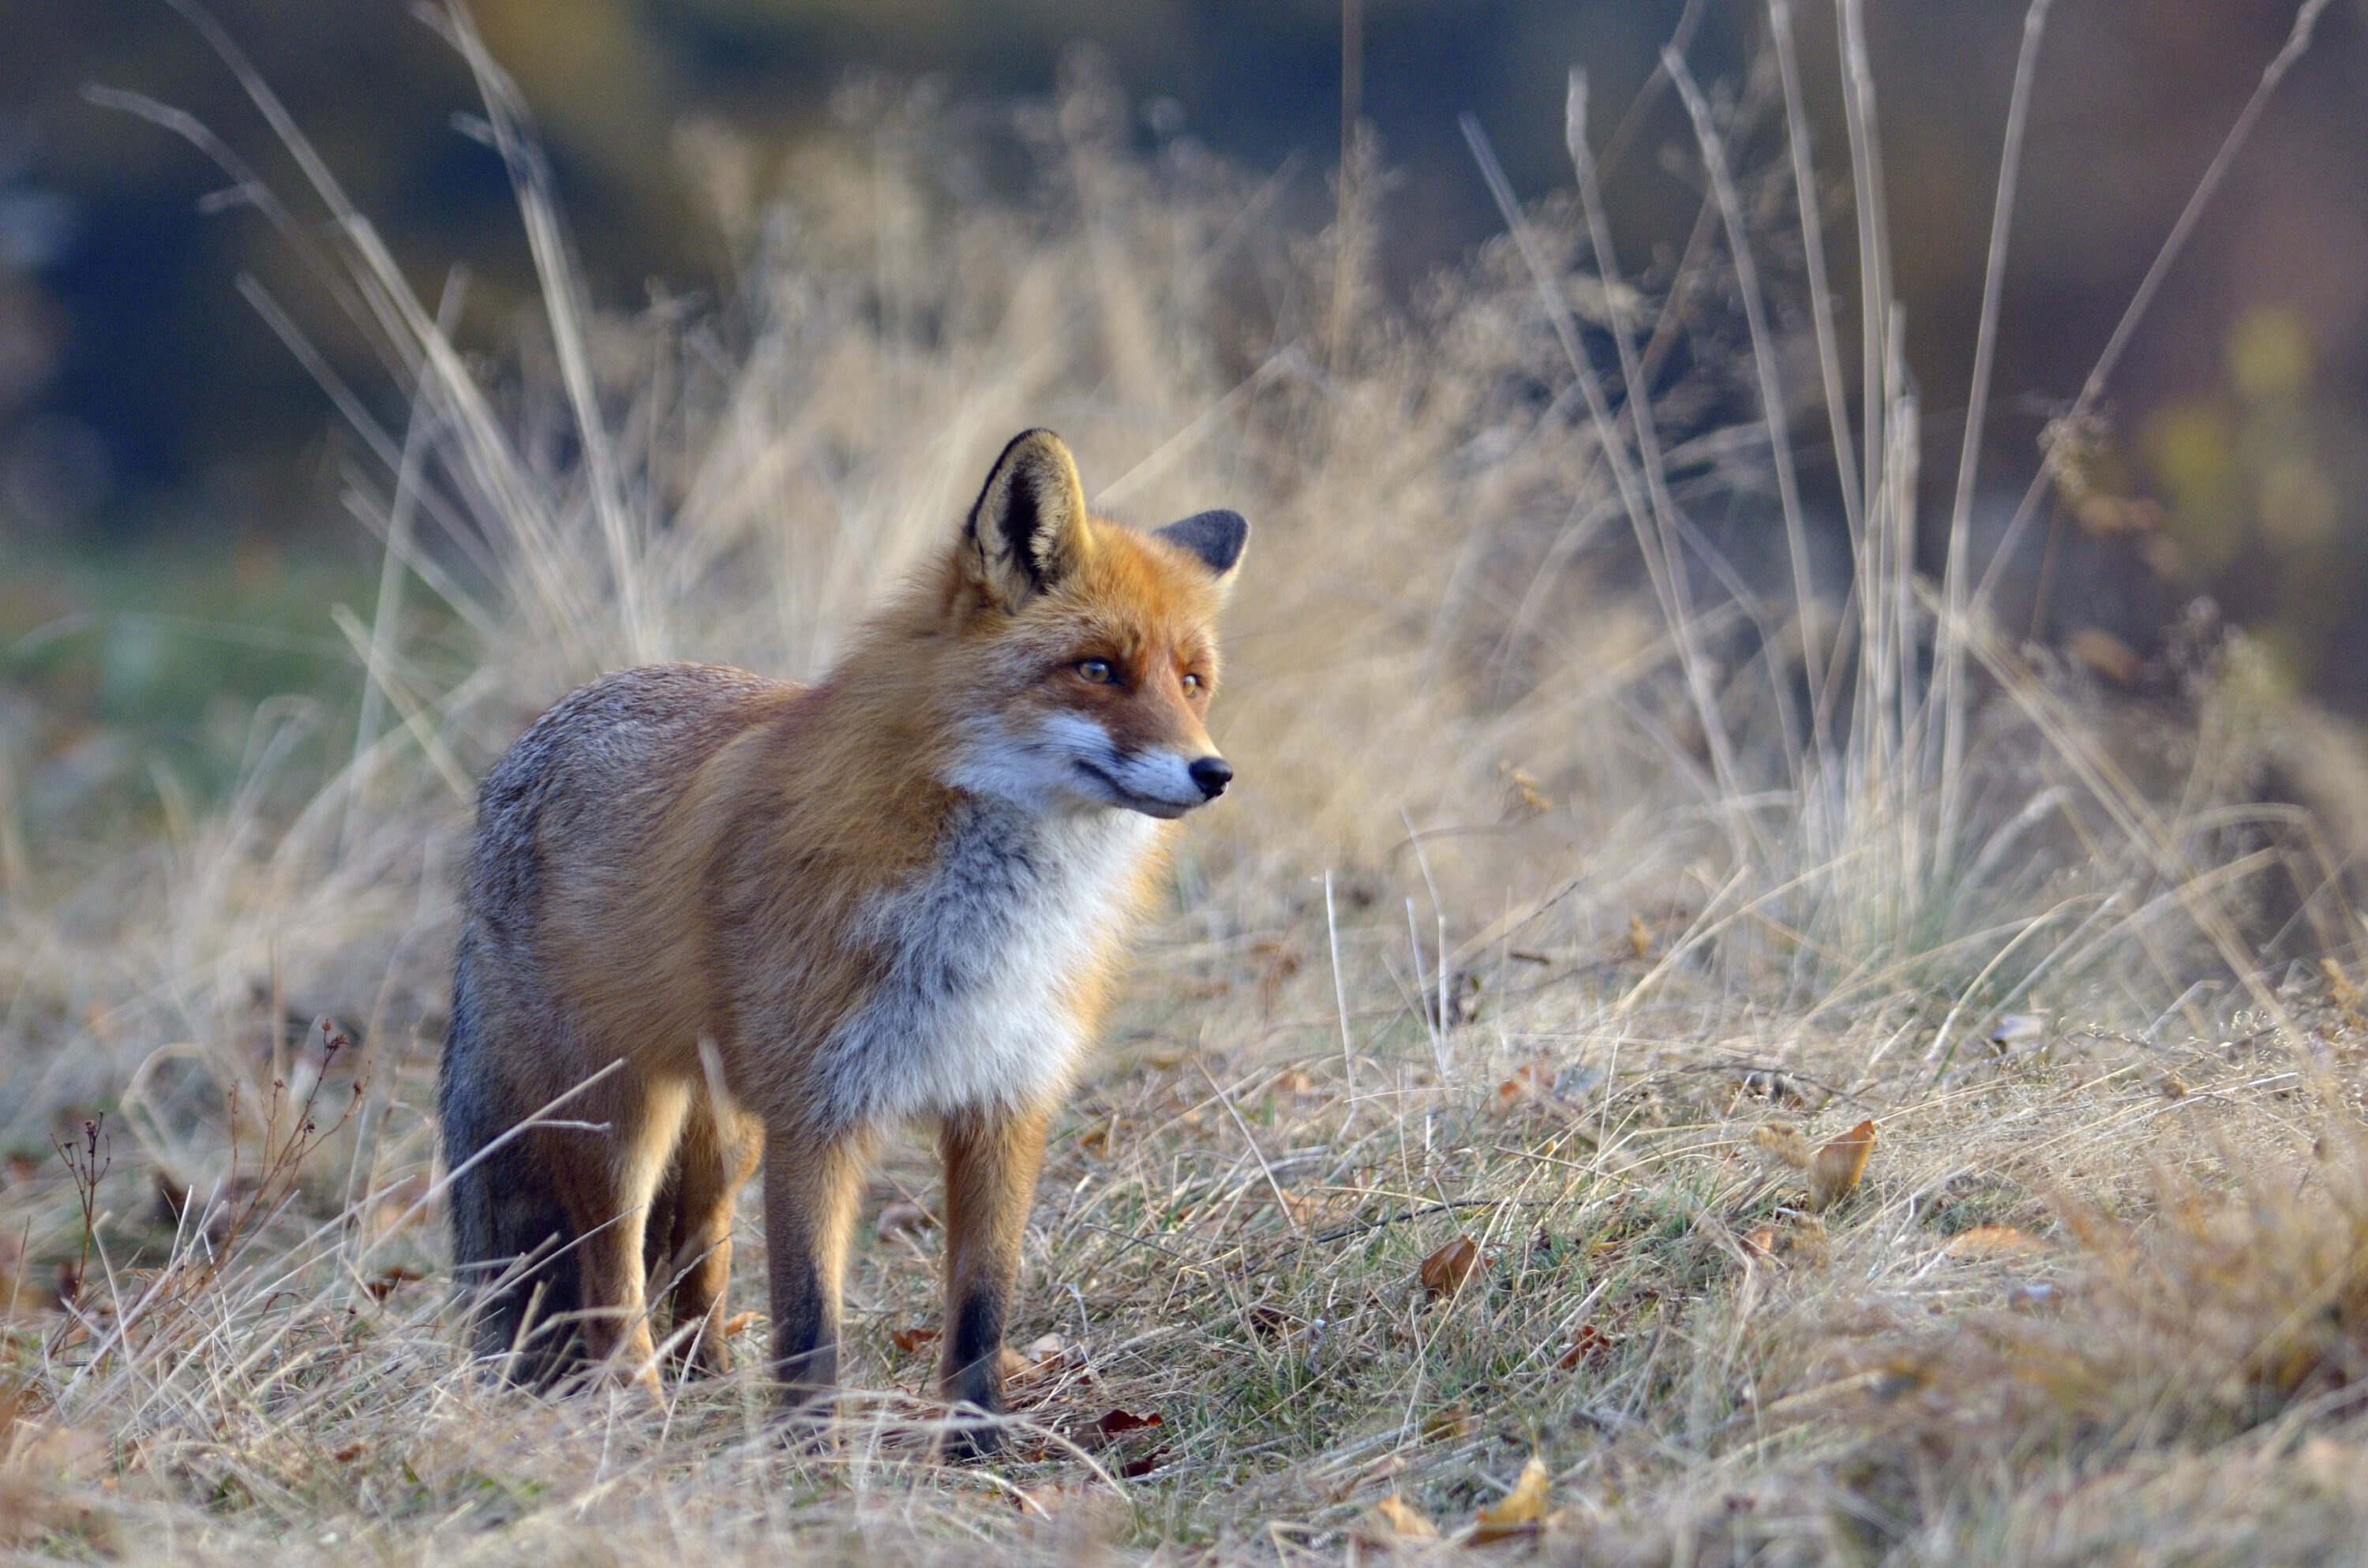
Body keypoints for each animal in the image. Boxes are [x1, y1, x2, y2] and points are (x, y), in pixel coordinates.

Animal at [438, 433, 1250, 1458]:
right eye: (1097, 668)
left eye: (1192, 681)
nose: (1213, 771)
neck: (987, 933)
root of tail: (521, 753)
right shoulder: (819, 1112)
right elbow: (808, 1320)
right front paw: (810, 1460)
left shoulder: (1005, 1102)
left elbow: (981, 1308)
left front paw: (977, 1452)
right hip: (622, 1123)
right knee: (610, 1281)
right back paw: (644, 1417)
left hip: (725, 1139)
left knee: (697, 1258)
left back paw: (709, 1384)